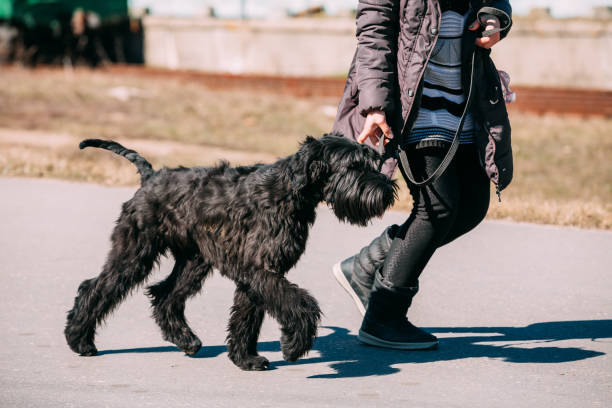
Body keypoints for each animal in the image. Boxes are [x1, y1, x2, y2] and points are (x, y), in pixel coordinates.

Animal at [63, 134, 396, 370]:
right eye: (353, 166)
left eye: (372, 162)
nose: (387, 190)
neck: (289, 191)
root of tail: (150, 176)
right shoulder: (260, 270)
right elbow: (300, 303)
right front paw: (293, 344)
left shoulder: (258, 275)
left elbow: (247, 316)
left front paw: (245, 358)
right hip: (134, 252)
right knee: (95, 288)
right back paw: (79, 340)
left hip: (194, 261)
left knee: (165, 295)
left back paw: (186, 340)